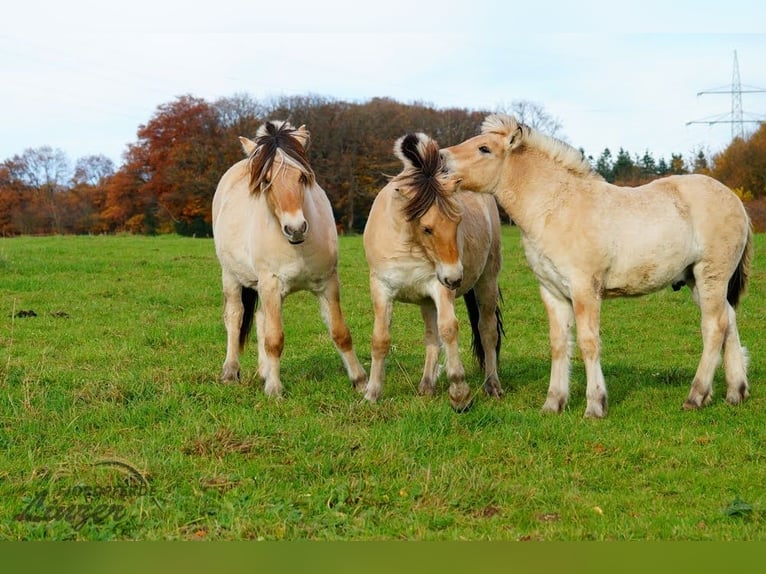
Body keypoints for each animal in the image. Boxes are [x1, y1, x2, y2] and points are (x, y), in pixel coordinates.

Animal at [211, 120, 367, 396]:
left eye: (302, 177)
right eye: (266, 181)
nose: (295, 229)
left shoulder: (327, 283)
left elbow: (340, 332)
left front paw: (360, 381)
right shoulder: (271, 284)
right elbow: (274, 339)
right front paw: (274, 389)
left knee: (260, 318)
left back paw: (262, 372)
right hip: (231, 276)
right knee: (235, 316)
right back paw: (230, 371)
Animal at [363, 132, 504, 411]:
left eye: (457, 222)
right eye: (427, 228)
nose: (455, 277)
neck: (408, 243)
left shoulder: (440, 287)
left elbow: (449, 329)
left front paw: (460, 393)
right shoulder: (382, 289)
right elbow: (381, 339)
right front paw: (371, 393)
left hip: (486, 282)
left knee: (487, 331)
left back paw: (492, 385)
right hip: (426, 300)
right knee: (431, 336)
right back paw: (426, 385)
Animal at [441, 114, 752, 418]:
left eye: (484, 148)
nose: (441, 160)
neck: (557, 207)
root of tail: (736, 202)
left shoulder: (584, 289)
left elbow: (588, 343)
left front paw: (595, 405)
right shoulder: (553, 292)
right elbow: (559, 344)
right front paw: (553, 403)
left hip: (711, 275)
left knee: (714, 327)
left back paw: (696, 396)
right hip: (696, 280)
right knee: (729, 320)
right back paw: (735, 392)